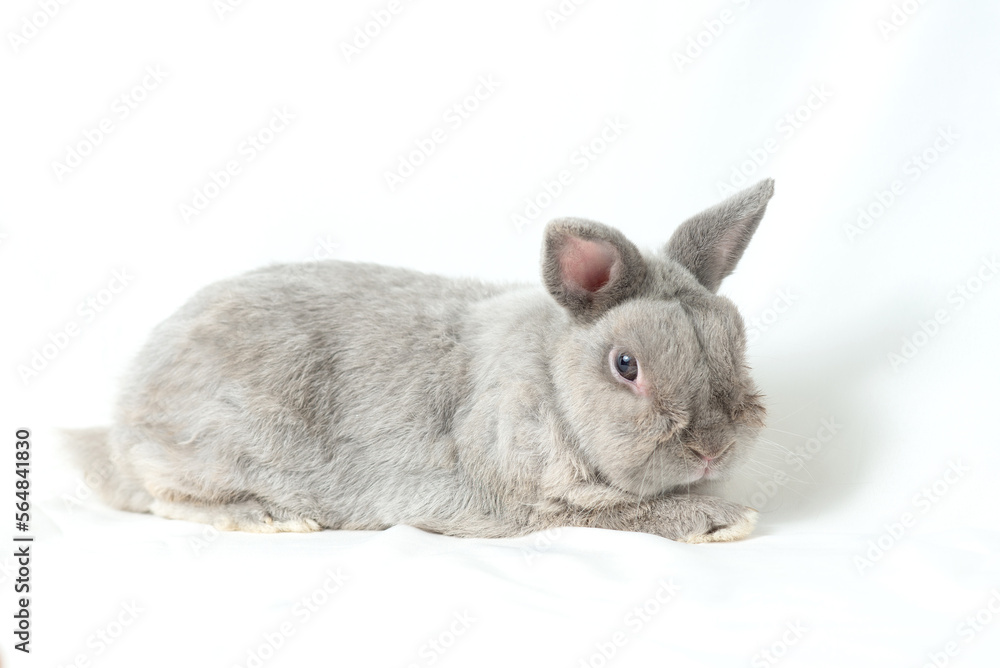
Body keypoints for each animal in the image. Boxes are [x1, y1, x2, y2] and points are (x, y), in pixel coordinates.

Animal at [67, 178, 775, 543]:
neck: (551, 383)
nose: (712, 448)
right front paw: (726, 521)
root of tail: (122, 418)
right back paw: (272, 517)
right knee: (163, 499)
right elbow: (633, 512)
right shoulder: (539, 505)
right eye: (626, 365)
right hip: (207, 449)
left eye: (736, 343)